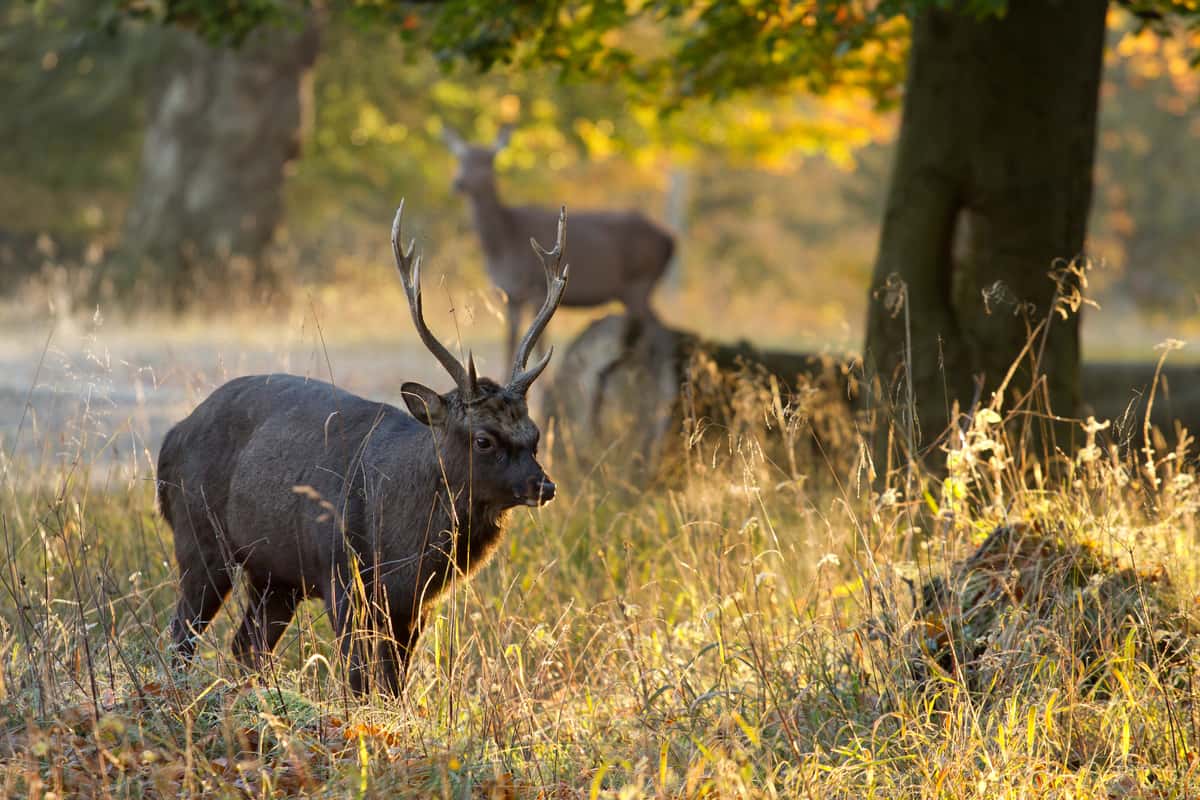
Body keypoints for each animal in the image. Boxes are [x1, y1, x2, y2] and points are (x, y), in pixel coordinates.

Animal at [157, 200, 569, 695]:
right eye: (484, 439)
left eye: (535, 435)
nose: (544, 486)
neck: (401, 541)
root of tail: (171, 438)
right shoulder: (342, 577)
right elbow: (357, 675)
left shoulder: (415, 601)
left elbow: (393, 682)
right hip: (199, 537)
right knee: (181, 635)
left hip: (276, 575)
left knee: (245, 645)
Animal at [444, 125, 675, 366]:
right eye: (460, 158)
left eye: (487, 161)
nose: (458, 182)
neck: (502, 245)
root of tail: (670, 239)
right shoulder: (510, 294)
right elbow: (509, 344)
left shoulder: (535, 288)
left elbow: (539, 345)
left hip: (640, 282)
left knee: (659, 335)